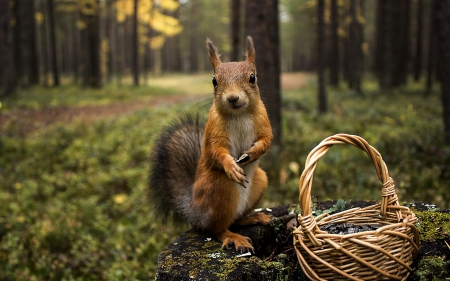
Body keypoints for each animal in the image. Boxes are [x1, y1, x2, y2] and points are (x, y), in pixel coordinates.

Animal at [149, 35, 272, 252]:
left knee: (234, 220)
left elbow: (267, 140)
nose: (232, 98)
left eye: (252, 78)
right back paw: (234, 237)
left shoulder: (263, 121)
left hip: (260, 181)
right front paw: (231, 166)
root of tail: (195, 213)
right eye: (215, 81)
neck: (239, 114)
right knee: (216, 228)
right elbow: (216, 150)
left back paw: (253, 218)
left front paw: (254, 153)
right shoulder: (214, 130)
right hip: (218, 187)